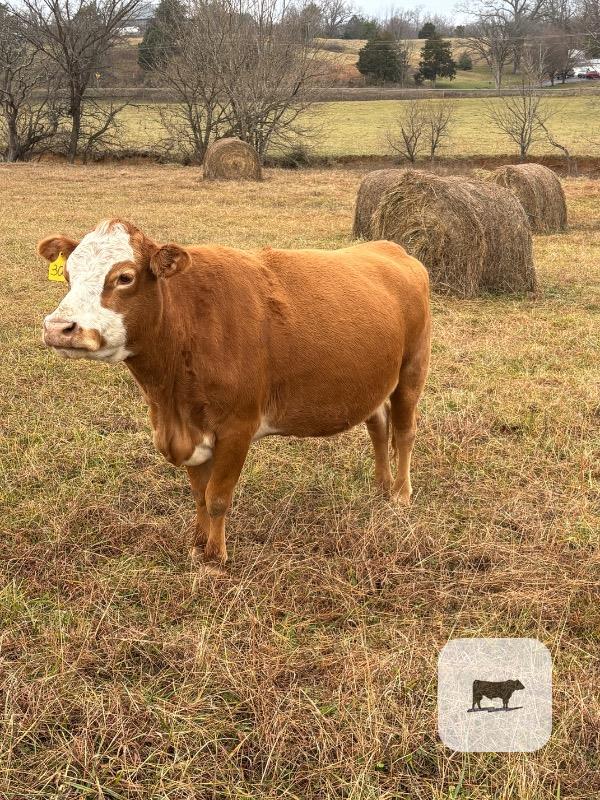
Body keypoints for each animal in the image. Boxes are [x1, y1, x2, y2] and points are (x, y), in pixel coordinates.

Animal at [39, 219, 431, 566]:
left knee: (404, 431)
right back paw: (381, 486)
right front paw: (198, 545)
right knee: (378, 425)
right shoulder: (191, 429)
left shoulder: (237, 427)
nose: (59, 328)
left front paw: (216, 557)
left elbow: (217, 496)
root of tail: (390, 248)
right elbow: (199, 495)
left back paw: (401, 494)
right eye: (68, 276)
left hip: (413, 368)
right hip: (374, 380)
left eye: (124, 277)